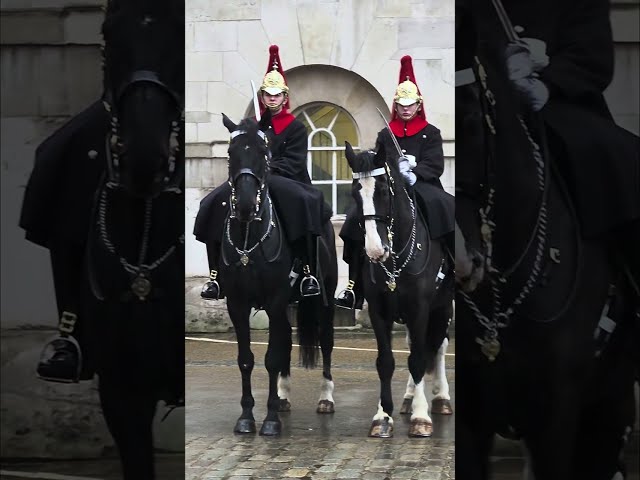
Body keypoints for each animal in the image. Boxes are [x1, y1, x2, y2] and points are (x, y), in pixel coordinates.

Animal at [218, 111, 338, 436]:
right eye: (231, 152)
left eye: (263, 152)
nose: (246, 206)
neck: (249, 240)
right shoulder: (237, 303)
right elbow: (246, 360)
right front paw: (247, 416)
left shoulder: (274, 300)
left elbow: (271, 359)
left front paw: (270, 421)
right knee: (284, 340)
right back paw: (282, 396)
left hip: (323, 299)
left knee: (325, 342)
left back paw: (325, 398)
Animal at [344, 141, 450, 436]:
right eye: (355, 193)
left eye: (382, 190)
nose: (375, 250)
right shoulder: (379, 310)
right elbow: (386, 361)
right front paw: (383, 416)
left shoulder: (420, 308)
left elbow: (418, 359)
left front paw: (421, 416)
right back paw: (409, 398)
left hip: (444, 304)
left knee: (438, 346)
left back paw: (440, 398)